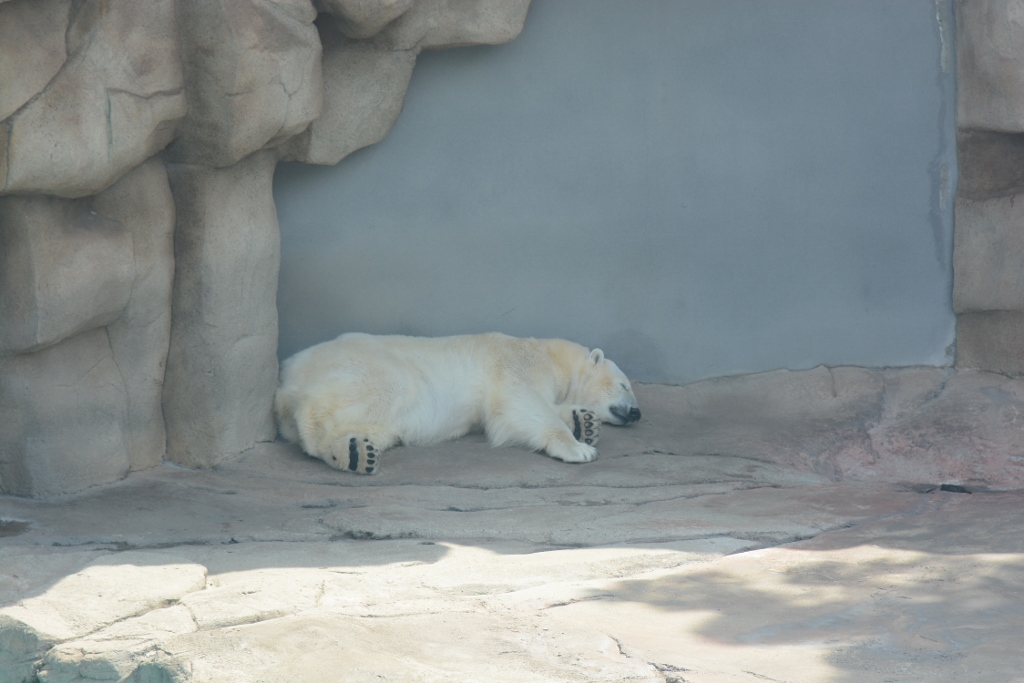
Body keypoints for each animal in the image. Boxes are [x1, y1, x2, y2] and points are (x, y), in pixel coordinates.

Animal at [272, 331, 638, 475]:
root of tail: (287, 374)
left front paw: (584, 421)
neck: (549, 354)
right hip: (373, 365)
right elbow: (519, 404)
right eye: (625, 384)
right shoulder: (517, 363)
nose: (636, 412)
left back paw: (356, 451)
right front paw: (579, 449)